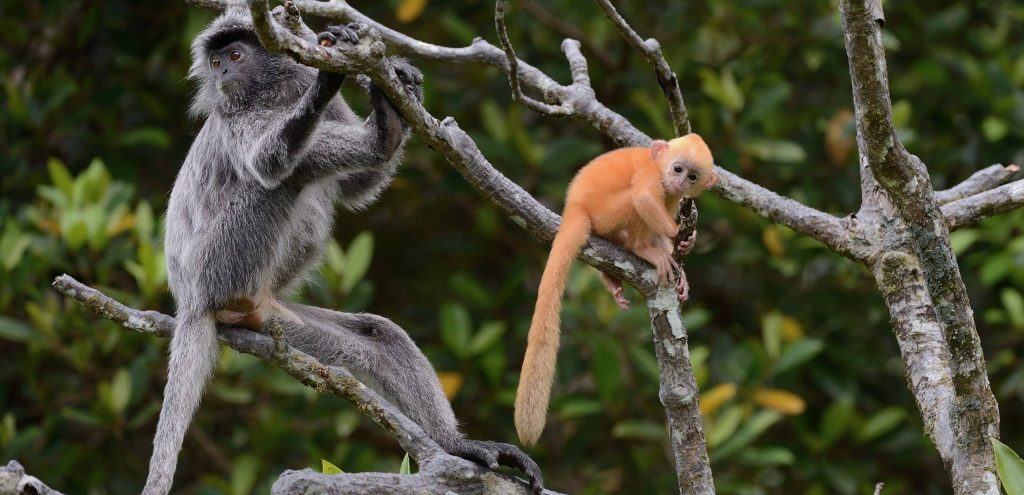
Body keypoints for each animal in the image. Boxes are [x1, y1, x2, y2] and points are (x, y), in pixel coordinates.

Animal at [146, 9, 542, 494]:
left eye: (235, 57)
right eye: (217, 63)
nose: (222, 77)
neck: (273, 95)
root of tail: (191, 302)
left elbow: (355, 189)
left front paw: (399, 89)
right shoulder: (235, 115)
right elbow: (268, 164)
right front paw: (330, 81)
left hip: (278, 321)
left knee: (380, 338)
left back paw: (456, 445)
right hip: (217, 269)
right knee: (287, 177)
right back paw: (380, 138)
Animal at [514, 134, 717, 446]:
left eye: (692, 176)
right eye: (677, 169)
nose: (680, 182)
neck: (658, 166)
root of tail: (575, 205)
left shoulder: (676, 196)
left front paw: (684, 261)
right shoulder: (650, 174)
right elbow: (644, 197)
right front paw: (675, 236)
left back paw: (613, 276)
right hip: (605, 212)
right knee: (634, 202)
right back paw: (640, 249)